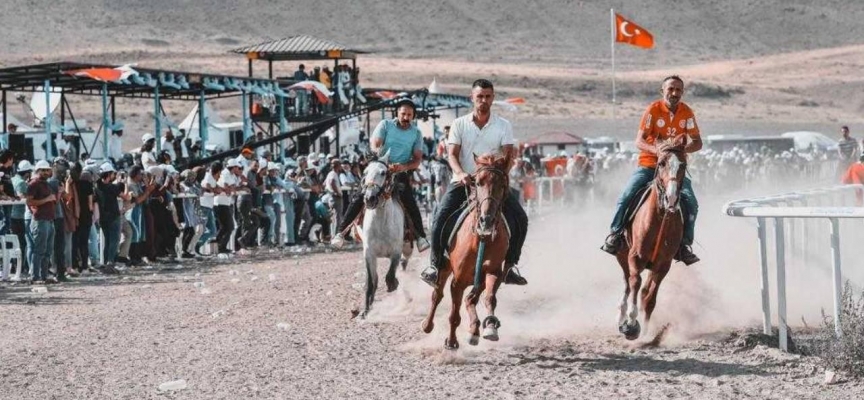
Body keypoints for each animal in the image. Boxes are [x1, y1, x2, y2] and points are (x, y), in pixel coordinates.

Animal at [356, 152, 414, 318]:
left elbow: (390, 276)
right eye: (364, 173)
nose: (370, 198)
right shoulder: (369, 253)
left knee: (403, 267)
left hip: (407, 250)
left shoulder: (396, 252)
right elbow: (371, 282)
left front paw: (394, 285)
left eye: (383, 172)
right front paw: (365, 311)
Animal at [422, 153, 510, 350]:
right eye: (477, 182)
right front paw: (452, 342)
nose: (487, 220)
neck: (481, 238)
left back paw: (475, 330)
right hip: (444, 267)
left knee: (470, 299)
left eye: (503, 184)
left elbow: (489, 298)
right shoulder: (458, 281)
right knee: (437, 295)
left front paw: (490, 327)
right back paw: (427, 325)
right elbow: (454, 315)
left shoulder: (493, 273)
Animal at [616, 136, 688, 342]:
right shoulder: (635, 257)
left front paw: (646, 331)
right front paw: (631, 324)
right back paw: (622, 316)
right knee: (627, 283)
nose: (671, 198)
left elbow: (649, 298)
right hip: (622, 255)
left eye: (683, 164)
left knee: (642, 291)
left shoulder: (663, 265)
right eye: (661, 163)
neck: (660, 219)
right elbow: (634, 283)